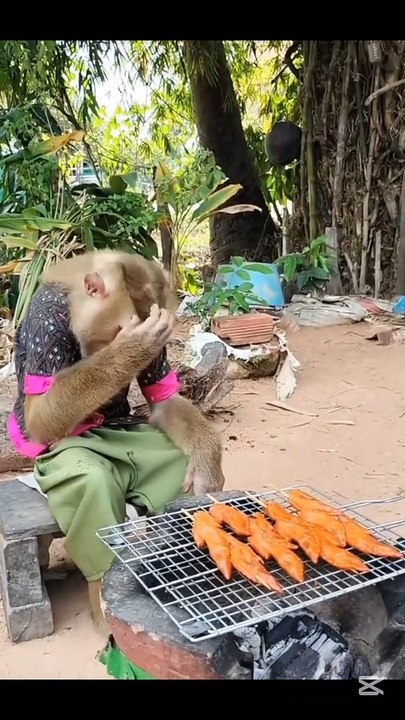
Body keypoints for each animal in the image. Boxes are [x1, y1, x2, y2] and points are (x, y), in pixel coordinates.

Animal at [23, 249, 225, 496]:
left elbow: (165, 401)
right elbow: (37, 417)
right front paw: (137, 346)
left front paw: (207, 466)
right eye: (121, 330)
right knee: (89, 476)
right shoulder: (45, 316)